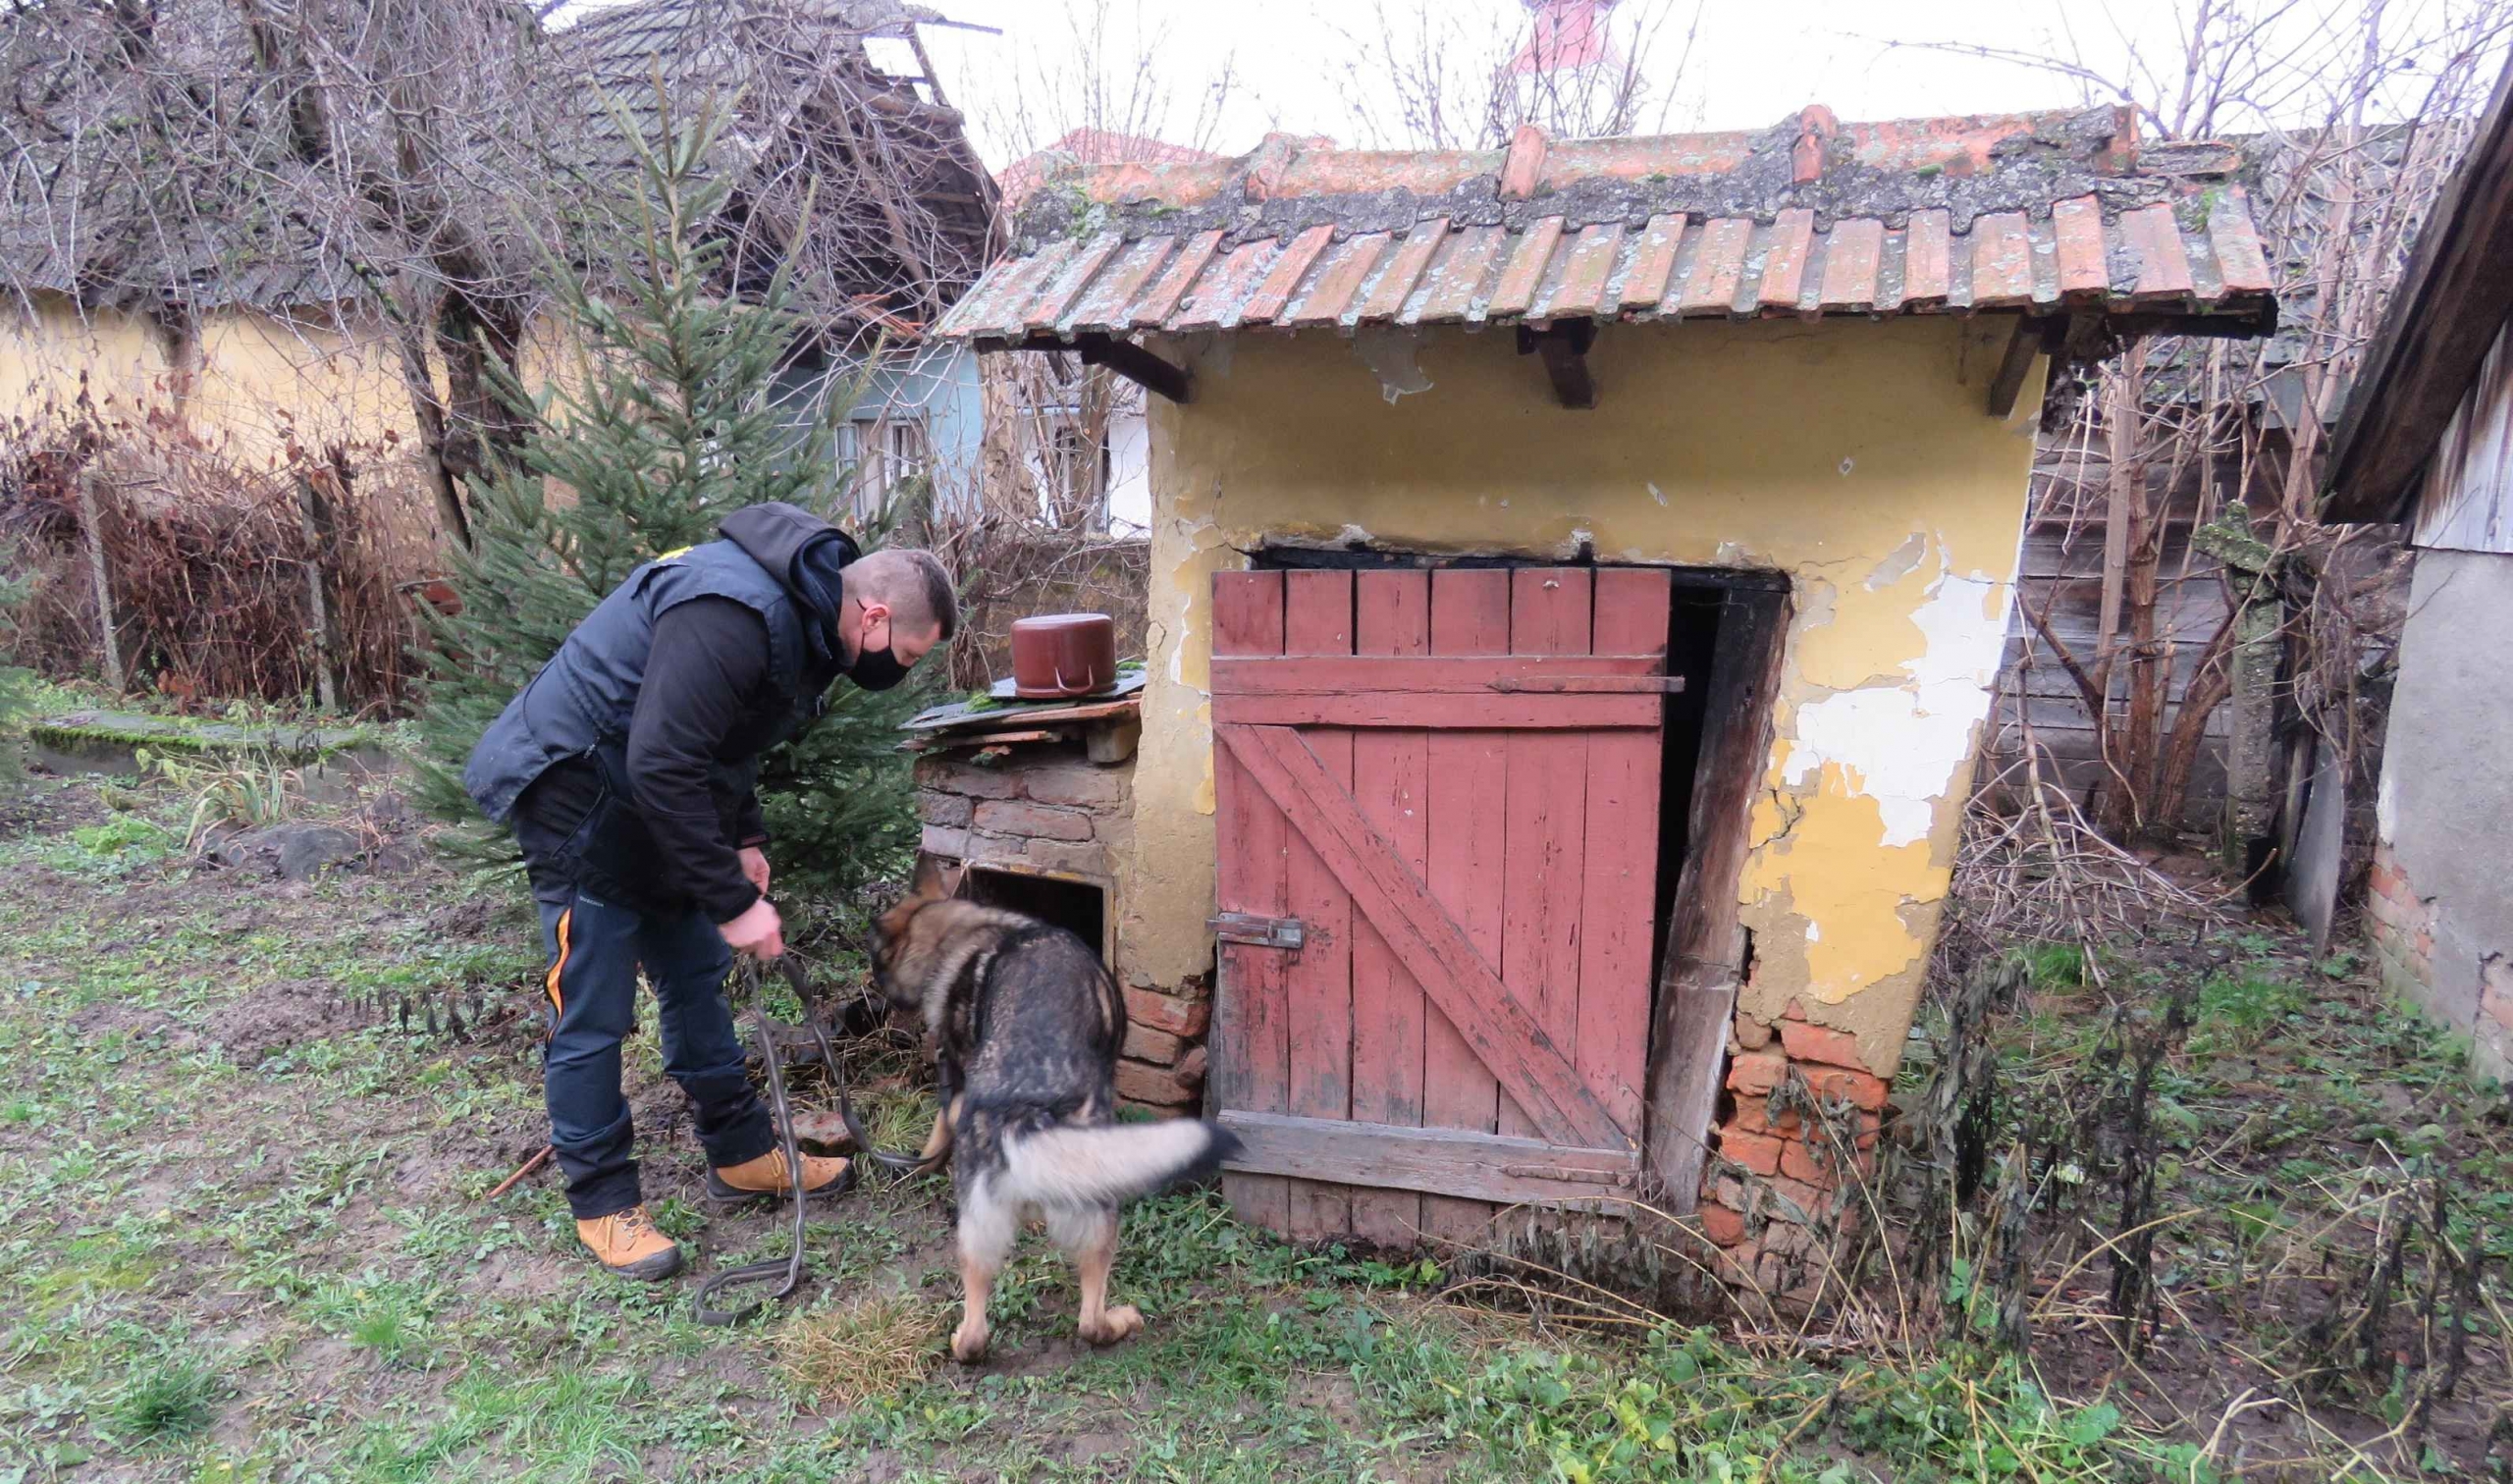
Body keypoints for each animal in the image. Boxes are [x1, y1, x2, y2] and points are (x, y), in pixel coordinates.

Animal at [874, 869, 1246, 1365]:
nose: (880, 992)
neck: (965, 937)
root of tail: (1022, 1113)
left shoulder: (957, 1080)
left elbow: (941, 1122)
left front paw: (923, 1161)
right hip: (1098, 1213)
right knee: (1089, 1318)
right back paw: (1120, 1323)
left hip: (976, 1234)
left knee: (974, 1332)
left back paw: (962, 1341)